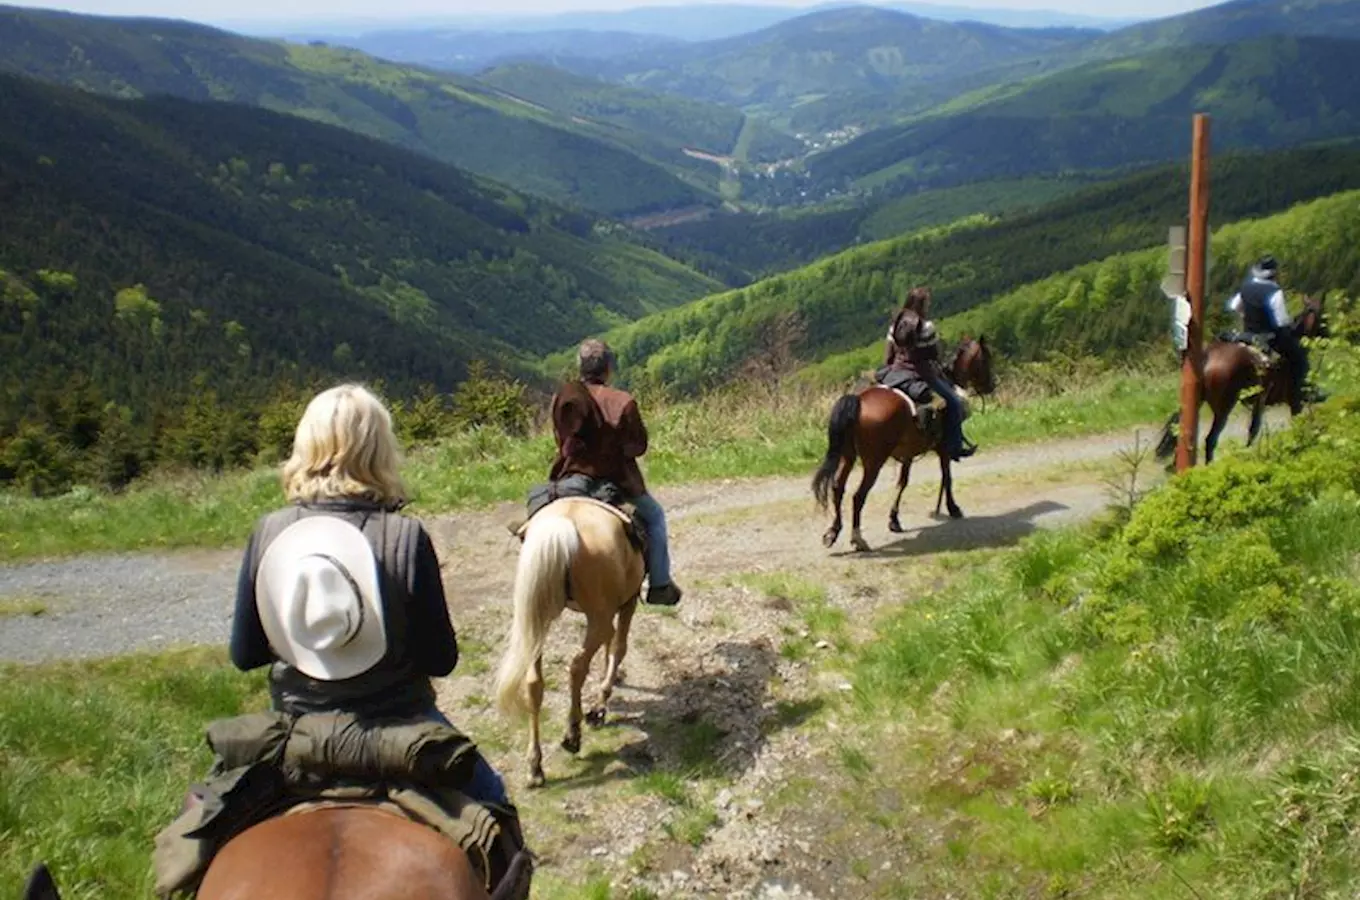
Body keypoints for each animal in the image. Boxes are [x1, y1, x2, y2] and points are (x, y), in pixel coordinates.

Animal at [495, 500, 641, 788]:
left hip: (539, 620)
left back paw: (535, 767)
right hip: (598, 618)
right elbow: (618, 647)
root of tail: (562, 525)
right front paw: (600, 705)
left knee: (534, 683)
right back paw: (573, 733)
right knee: (577, 667)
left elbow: (612, 645)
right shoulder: (627, 602)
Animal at [810, 337, 995, 554]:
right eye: (986, 358)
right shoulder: (942, 448)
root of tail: (858, 401)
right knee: (858, 496)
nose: (992, 385)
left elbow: (902, 482)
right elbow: (947, 477)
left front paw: (894, 519)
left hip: (847, 456)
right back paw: (858, 539)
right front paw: (953, 508)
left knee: (838, 488)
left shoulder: (907, 454)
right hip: (874, 462)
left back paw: (832, 532)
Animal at [1158, 297, 1327, 464]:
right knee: (1210, 440)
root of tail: (1207, 359)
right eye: (1323, 316)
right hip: (1224, 408)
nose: (1328, 335)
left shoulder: (1261, 402)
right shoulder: (1294, 400)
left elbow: (1254, 428)